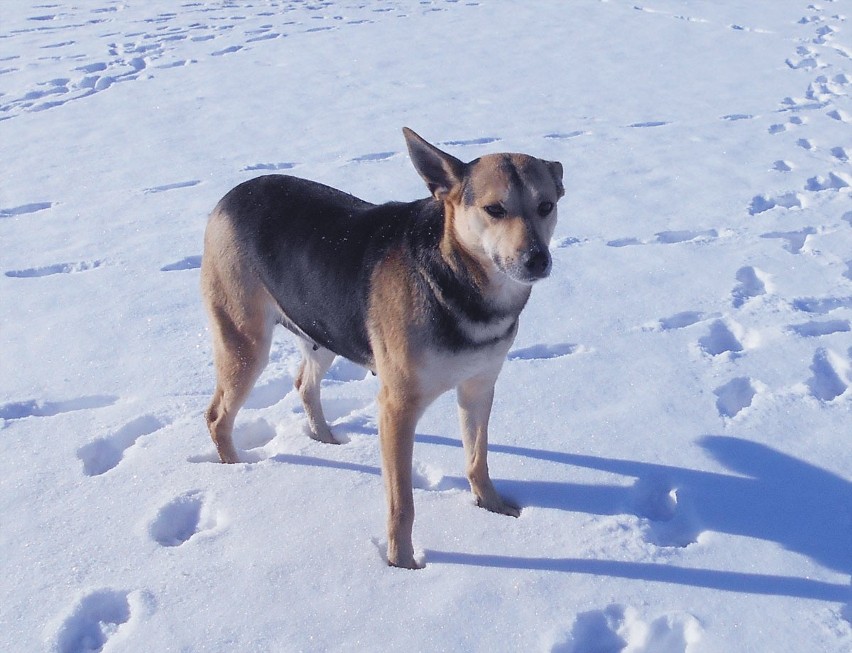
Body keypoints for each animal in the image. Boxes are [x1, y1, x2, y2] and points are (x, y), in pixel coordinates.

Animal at [202, 127, 564, 564]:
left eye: (546, 206)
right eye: (495, 209)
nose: (537, 259)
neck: (457, 279)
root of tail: (233, 194)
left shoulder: (478, 387)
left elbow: (478, 458)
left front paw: (491, 507)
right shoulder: (397, 407)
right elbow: (402, 502)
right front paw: (402, 563)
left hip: (323, 329)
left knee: (304, 384)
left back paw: (326, 439)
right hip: (245, 341)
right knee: (218, 416)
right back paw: (237, 473)